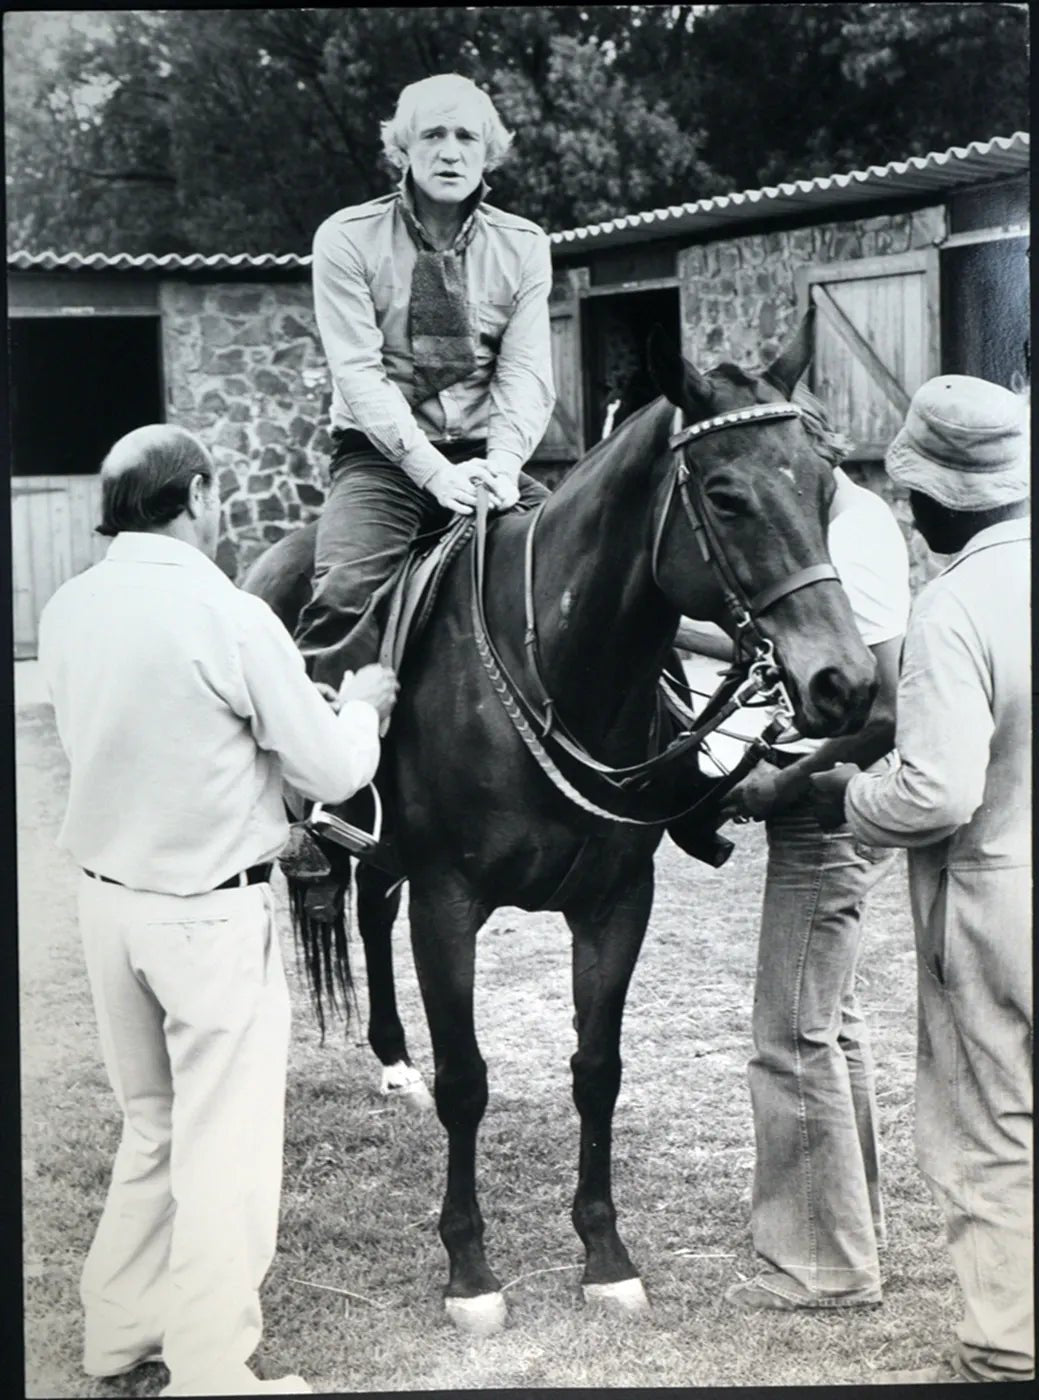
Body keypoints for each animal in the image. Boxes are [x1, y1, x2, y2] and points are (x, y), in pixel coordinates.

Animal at [239, 317, 873, 1332]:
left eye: (824, 486)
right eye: (725, 496)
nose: (843, 683)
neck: (555, 672)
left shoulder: (615, 902)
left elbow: (597, 1070)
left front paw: (605, 1255)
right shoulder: (449, 903)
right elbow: (467, 1081)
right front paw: (469, 1270)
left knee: (370, 911)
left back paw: (392, 1059)